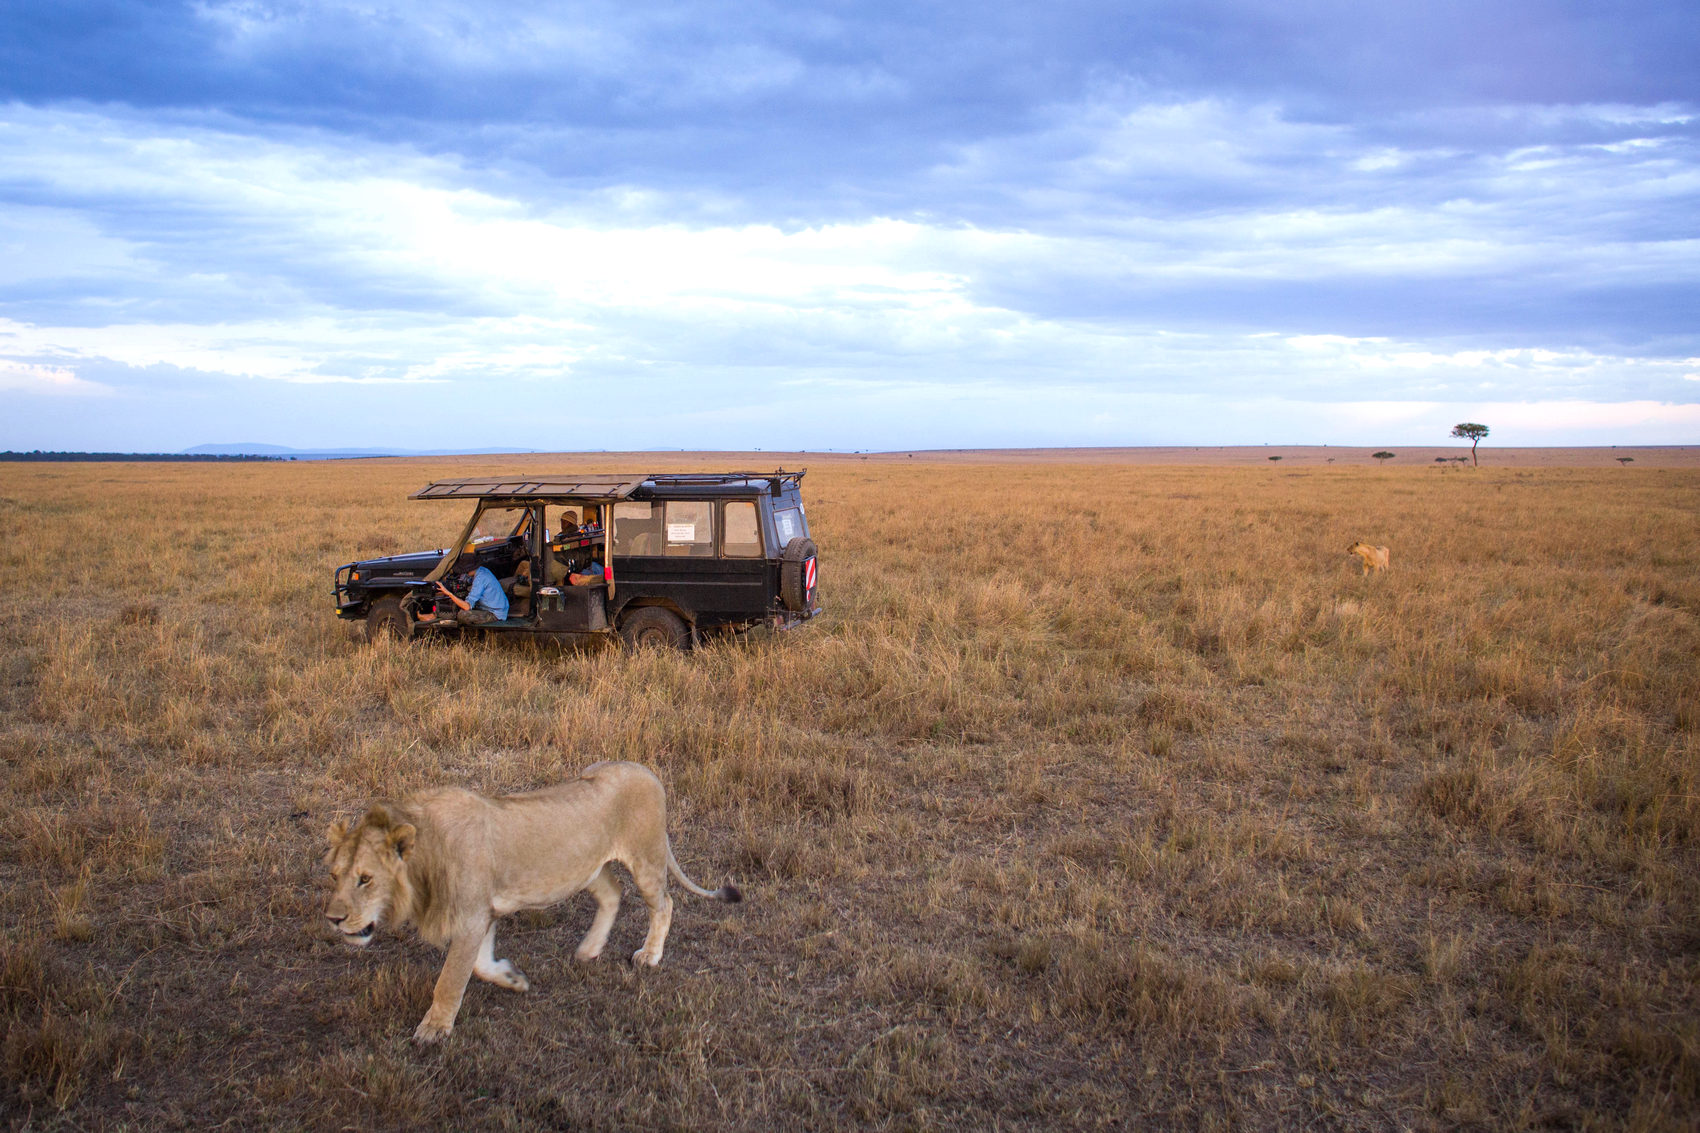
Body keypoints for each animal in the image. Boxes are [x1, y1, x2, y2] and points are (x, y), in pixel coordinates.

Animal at [324, 758, 737, 1041]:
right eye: (334, 875)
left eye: (365, 879)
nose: (333, 919)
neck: (425, 857)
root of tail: (647, 771)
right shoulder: (484, 913)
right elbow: (480, 965)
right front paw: (513, 979)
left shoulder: (471, 916)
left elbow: (452, 978)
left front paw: (433, 1029)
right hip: (586, 868)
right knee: (613, 893)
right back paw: (588, 950)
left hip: (646, 860)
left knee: (664, 904)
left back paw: (649, 955)